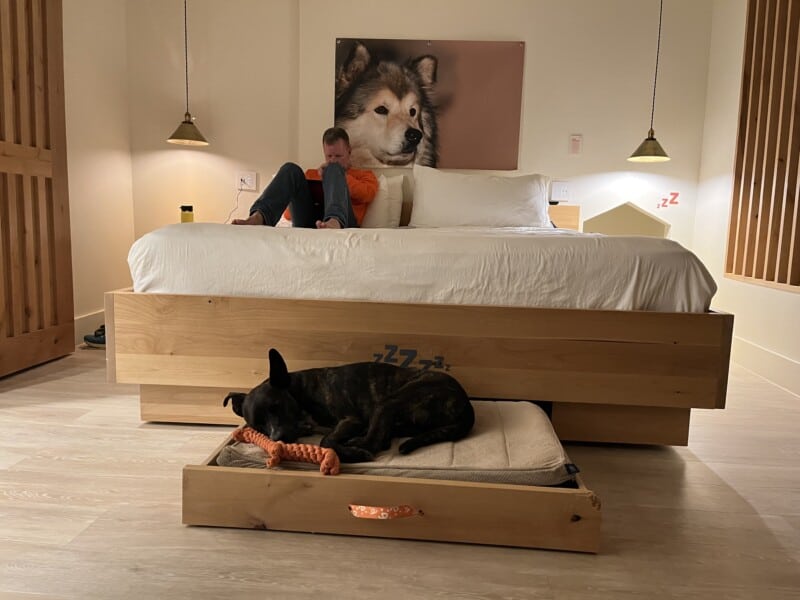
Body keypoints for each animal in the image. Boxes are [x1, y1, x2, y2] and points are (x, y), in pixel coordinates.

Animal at [223, 350, 476, 462]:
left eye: (277, 406)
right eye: (258, 426)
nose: (278, 438)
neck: (298, 392)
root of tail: (466, 405)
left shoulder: (350, 420)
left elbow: (327, 440)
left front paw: (347, 450)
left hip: (389, 401)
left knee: (373, 442)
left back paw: (359, 448)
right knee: (382, 435)